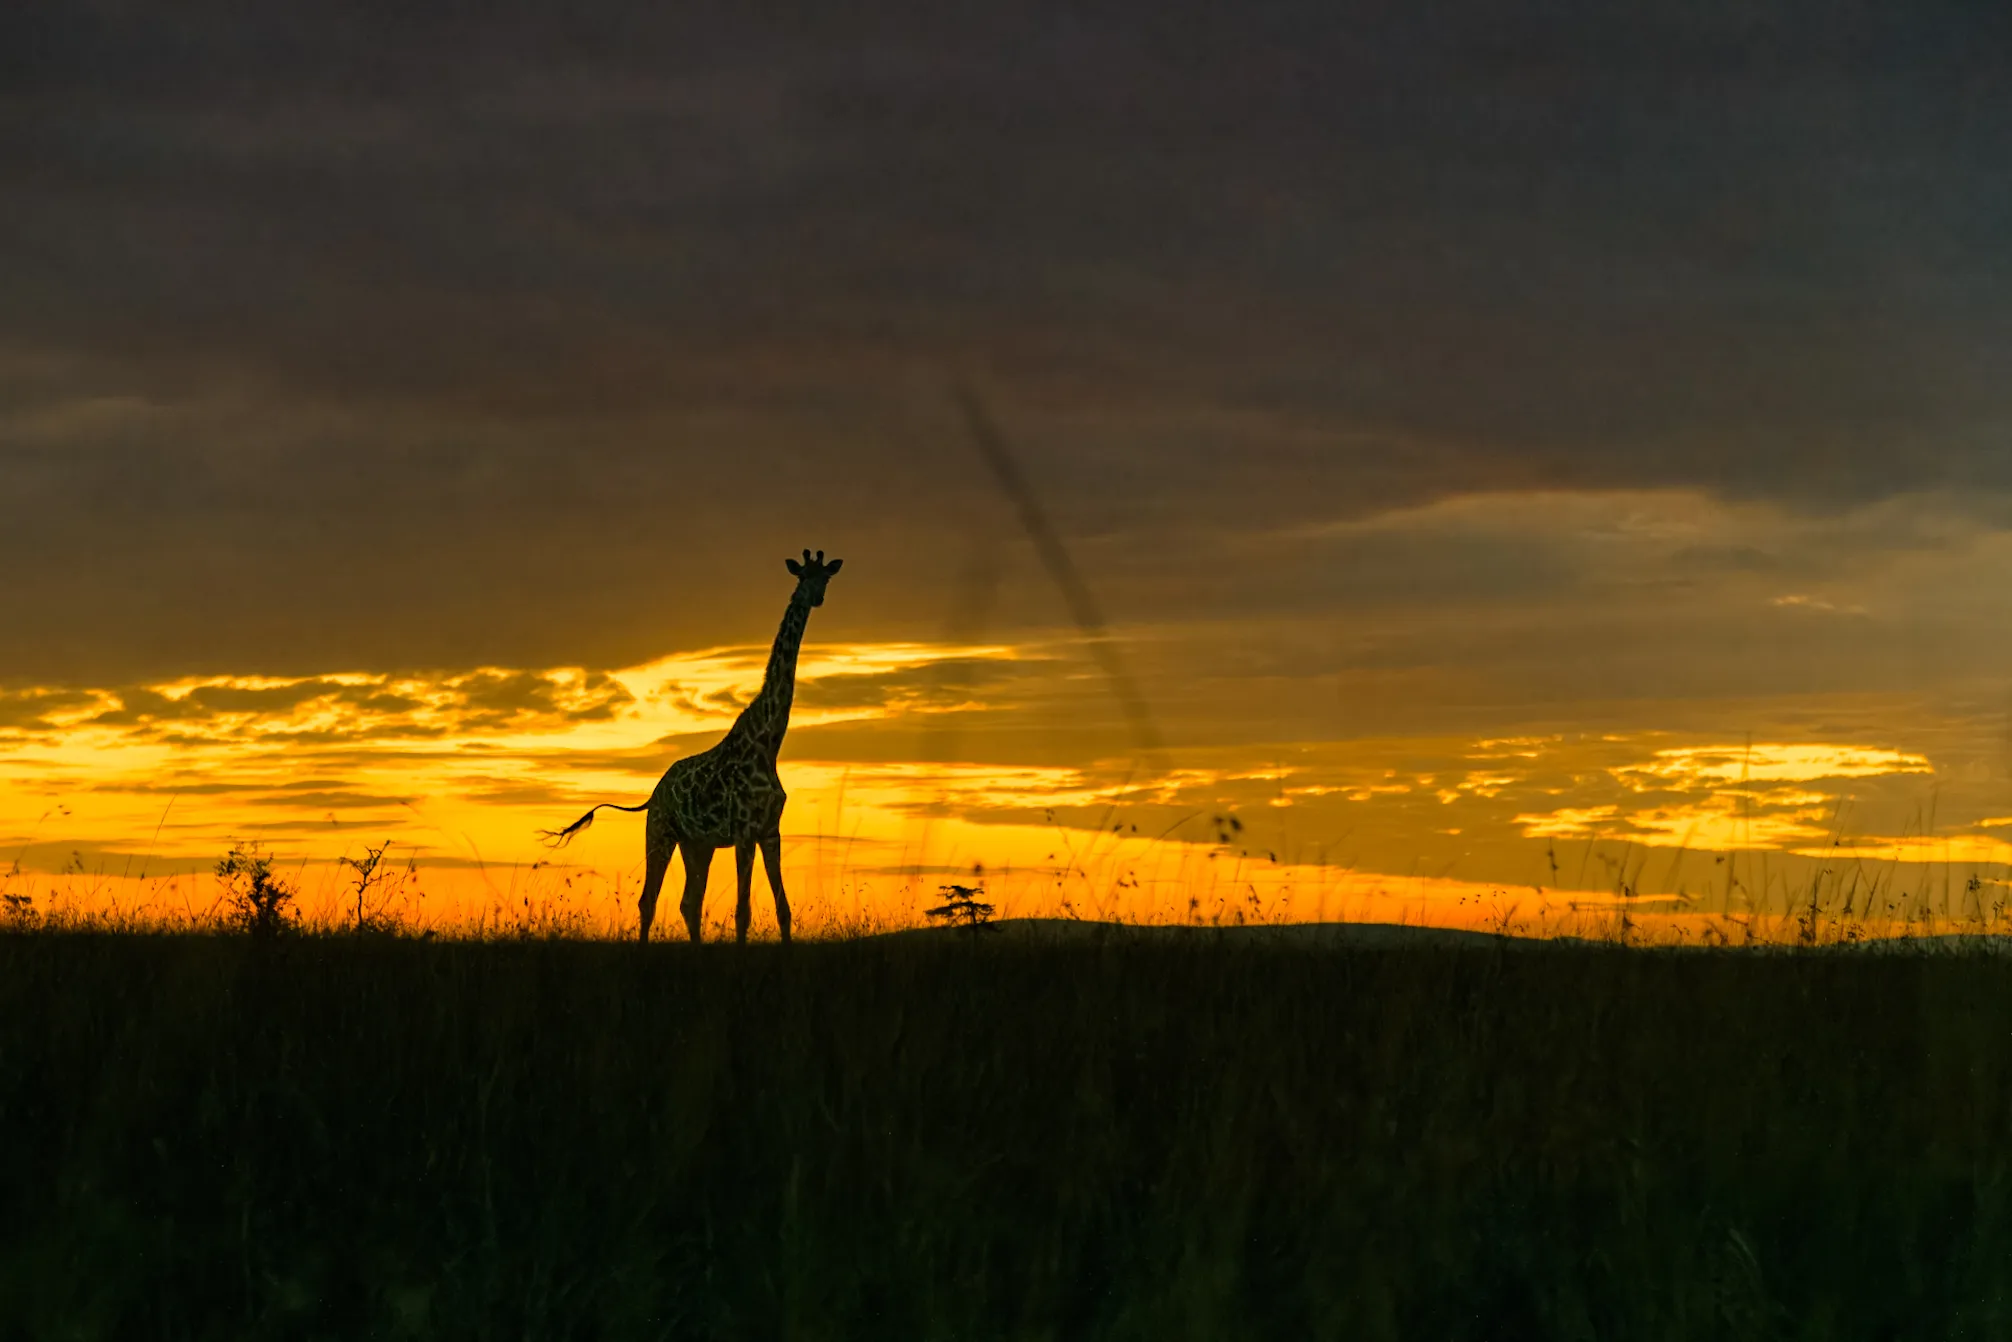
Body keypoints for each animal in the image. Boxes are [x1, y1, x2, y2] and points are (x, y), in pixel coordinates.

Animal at [540, 549, 843, 944]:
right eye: (803, 576)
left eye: (826, 577)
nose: (815, 597)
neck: (768, 742)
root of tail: (654, 793)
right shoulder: (744, 830)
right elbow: (743, 911)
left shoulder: (769, 831)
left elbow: (783, 910)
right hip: (660, 832)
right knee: (649, 901)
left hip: (697, 844)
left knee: (689, 902)